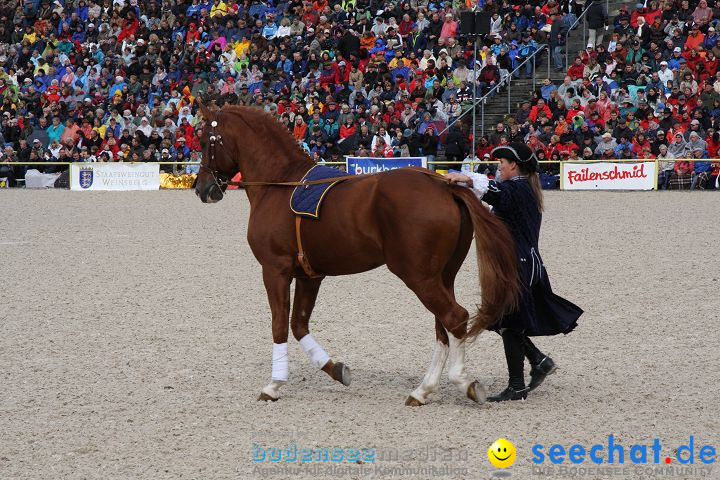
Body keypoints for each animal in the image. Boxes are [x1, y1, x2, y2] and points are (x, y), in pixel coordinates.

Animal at [193, 104, 516, 404]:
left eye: (207, 142)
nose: (202, 188)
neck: (280, 184)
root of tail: (443, 184)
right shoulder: (310, 276)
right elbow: (298, 325)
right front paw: (336, 369)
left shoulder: (275, 271)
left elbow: (279, 326)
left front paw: (273, 385)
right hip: (442, 276)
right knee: (443, 326)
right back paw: (424, 390)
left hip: (419, 276)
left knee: (455, 317)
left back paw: (461, 382)